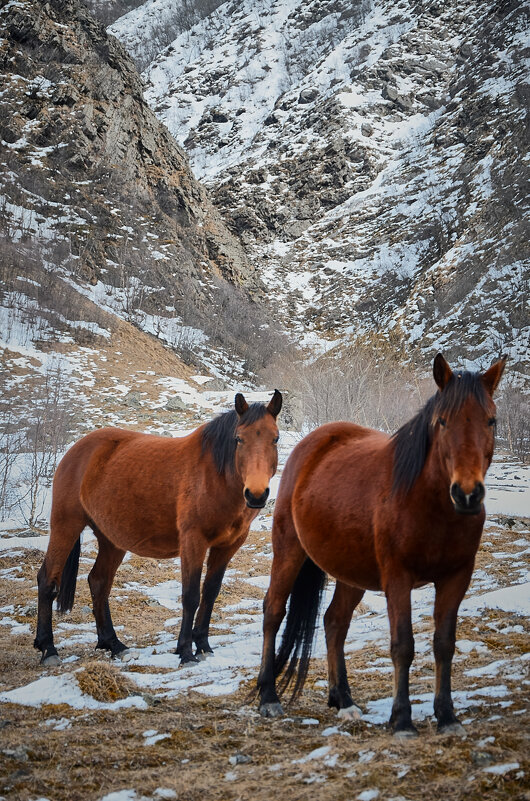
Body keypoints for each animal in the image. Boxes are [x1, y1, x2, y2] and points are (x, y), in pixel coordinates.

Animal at [35, 390, 282, 664]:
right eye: (239, 439)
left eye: (275, 438)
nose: (256, 495)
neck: (214, 477)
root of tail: (76, 450)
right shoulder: (193, 542)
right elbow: (191, 596)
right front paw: (185, 651)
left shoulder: (228, 545)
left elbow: (210, 592)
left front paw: (203, 645)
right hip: (66, 526)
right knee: (47, 580)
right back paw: (48, 648)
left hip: (112, 540)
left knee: (99, 582)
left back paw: (113, 644)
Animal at [258, 358, 506, 736]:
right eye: (442, 420)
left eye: (490, 420)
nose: (467, 494)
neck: (429, 505)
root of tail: (312, 443)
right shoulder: (398, 579)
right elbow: (403, 645)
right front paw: (402, 720)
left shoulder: (456, 578)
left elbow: (444, 645)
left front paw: (447, 716)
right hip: (289, 551)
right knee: (273, 611)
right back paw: (268, 697)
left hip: (351, 572)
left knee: (334, 622)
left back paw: (343, 701)